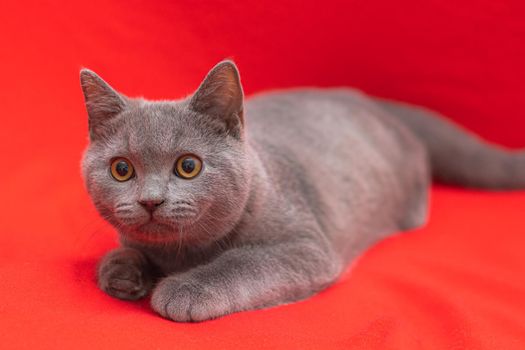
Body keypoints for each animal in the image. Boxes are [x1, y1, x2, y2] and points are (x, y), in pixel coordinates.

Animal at [79, 60, 524, 322]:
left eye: (188, 166)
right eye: (122, 169)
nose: (150, 200)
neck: (183, 253)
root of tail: (368, 100)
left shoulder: (307, 247)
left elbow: (245, 262)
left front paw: (184, 289)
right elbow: (126, 249)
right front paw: (121, 271)